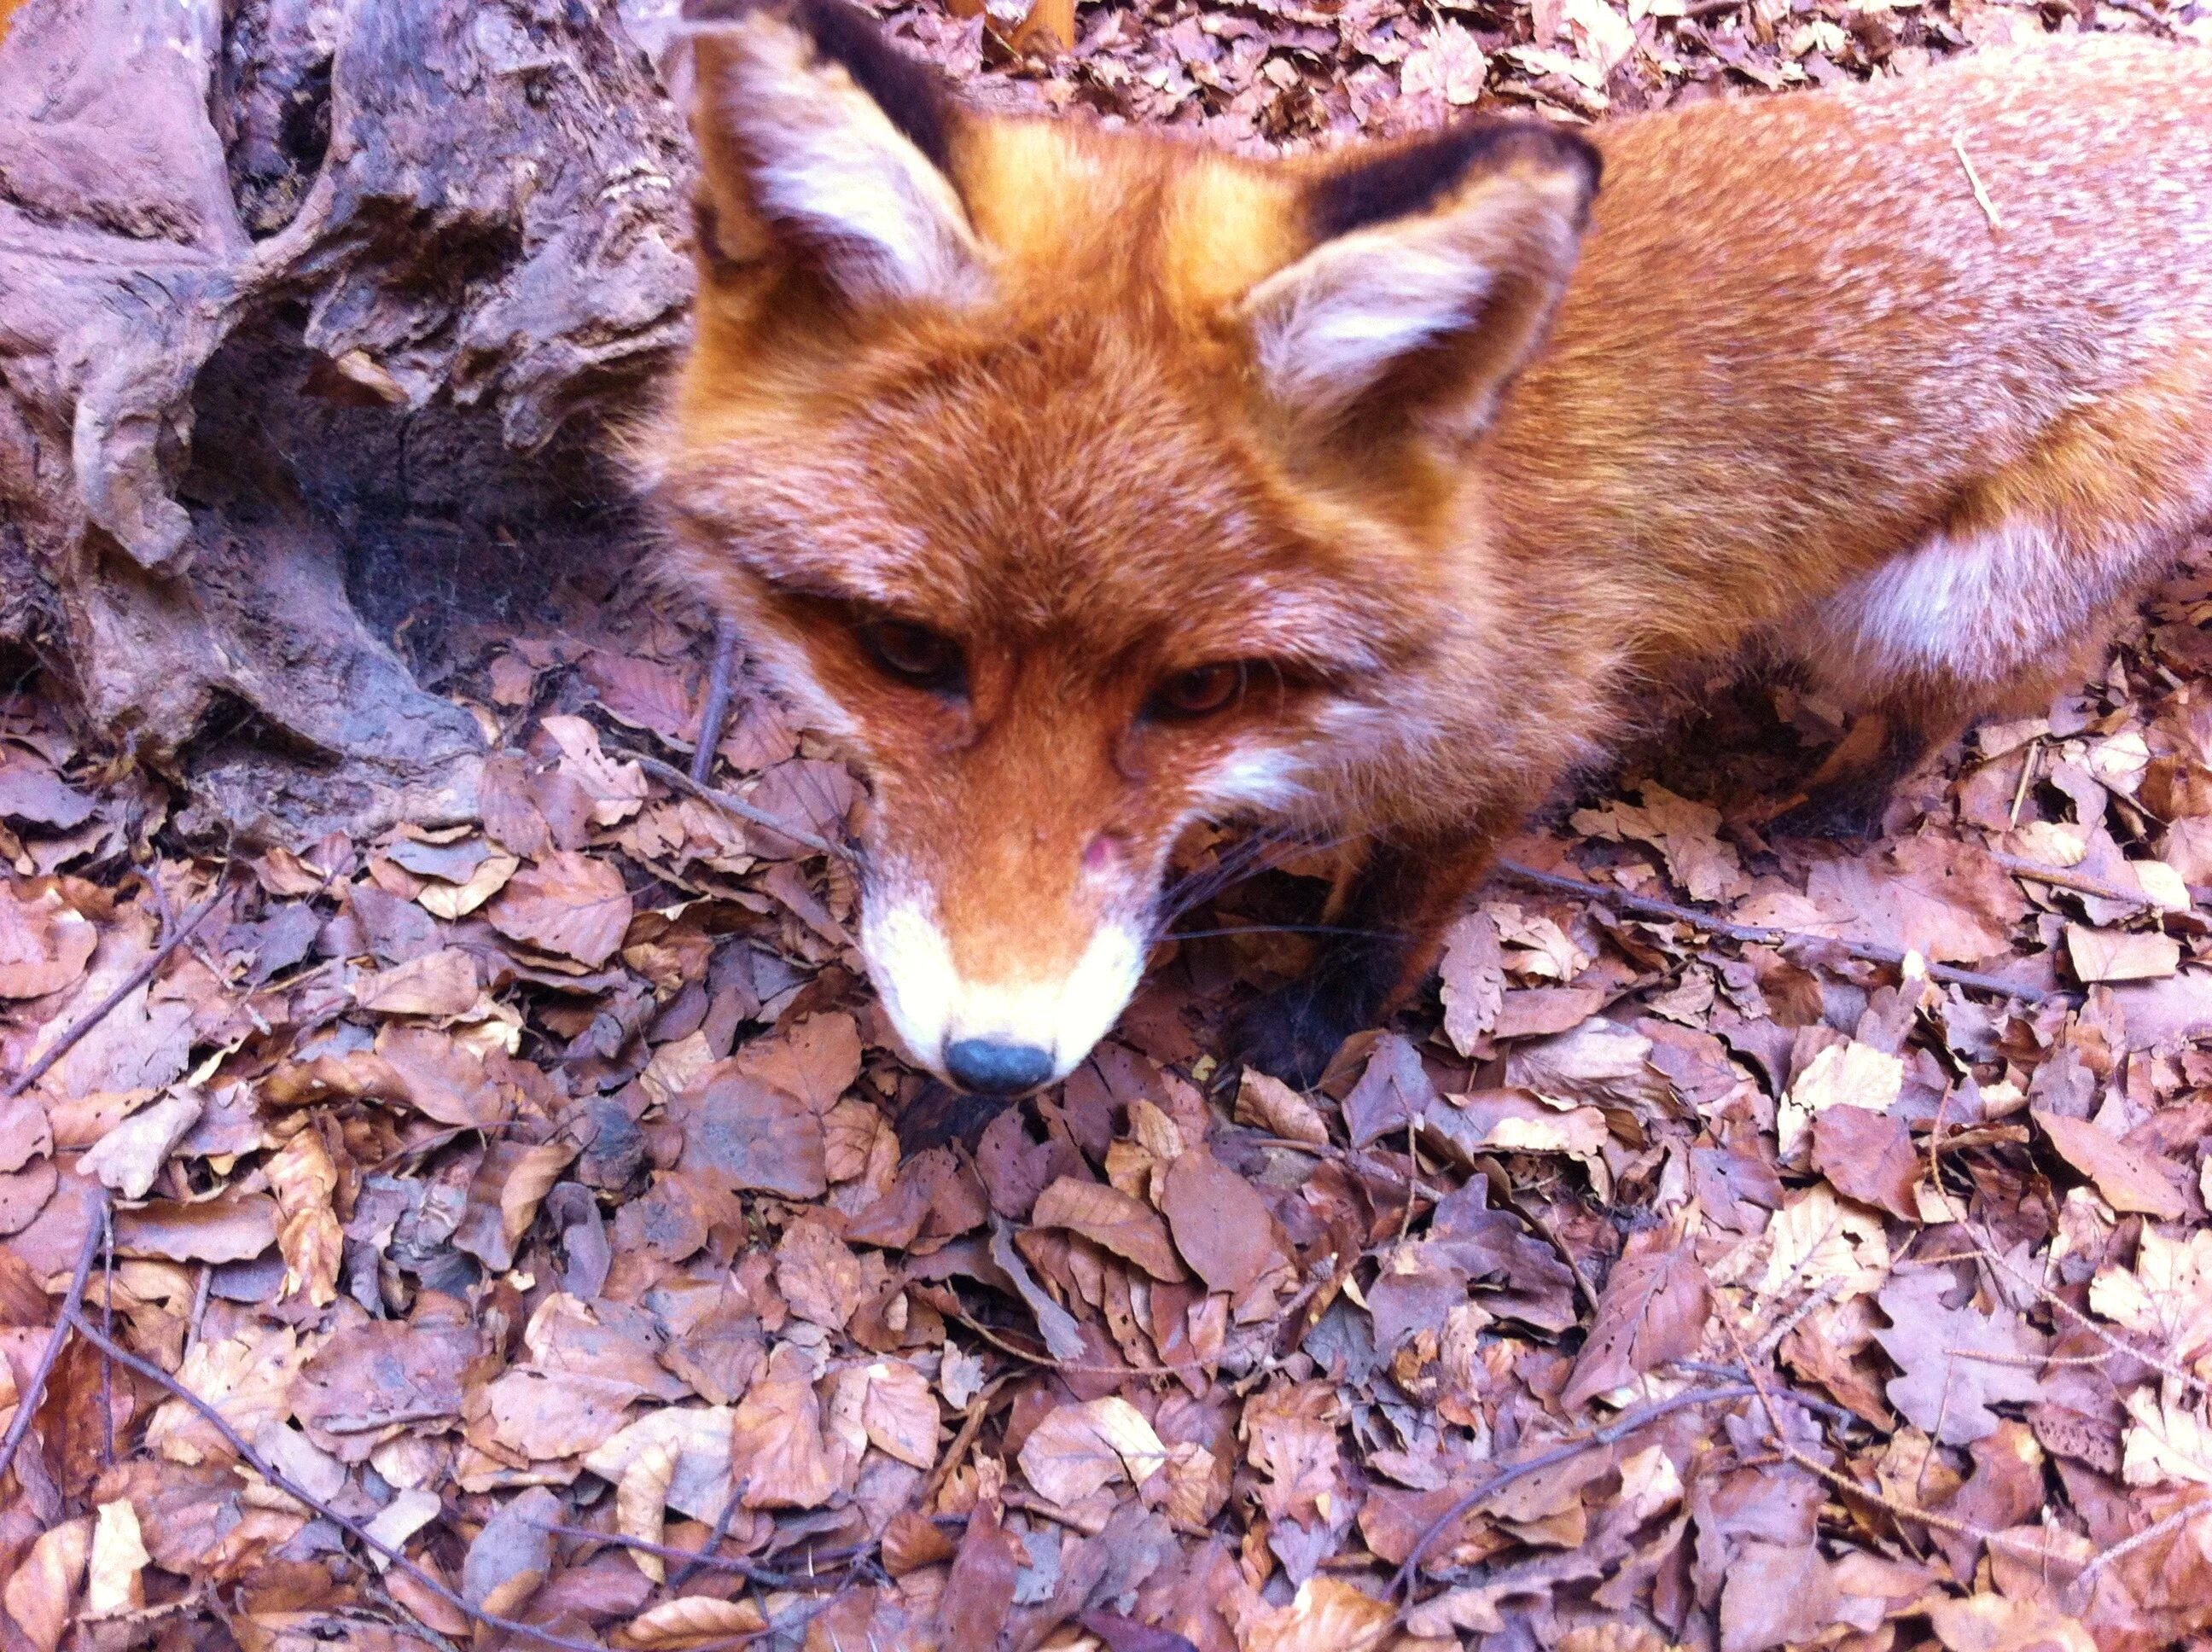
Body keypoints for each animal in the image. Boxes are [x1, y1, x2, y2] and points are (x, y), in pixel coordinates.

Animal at [645, 0, 2212, 1096]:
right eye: (905, 649)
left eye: (1199, 690)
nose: (995, 1063)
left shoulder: (1514, 741)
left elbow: (1382, 922)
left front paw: (1306, 1030)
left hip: (1928, 602)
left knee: (1970, 695)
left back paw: (1838, 799)